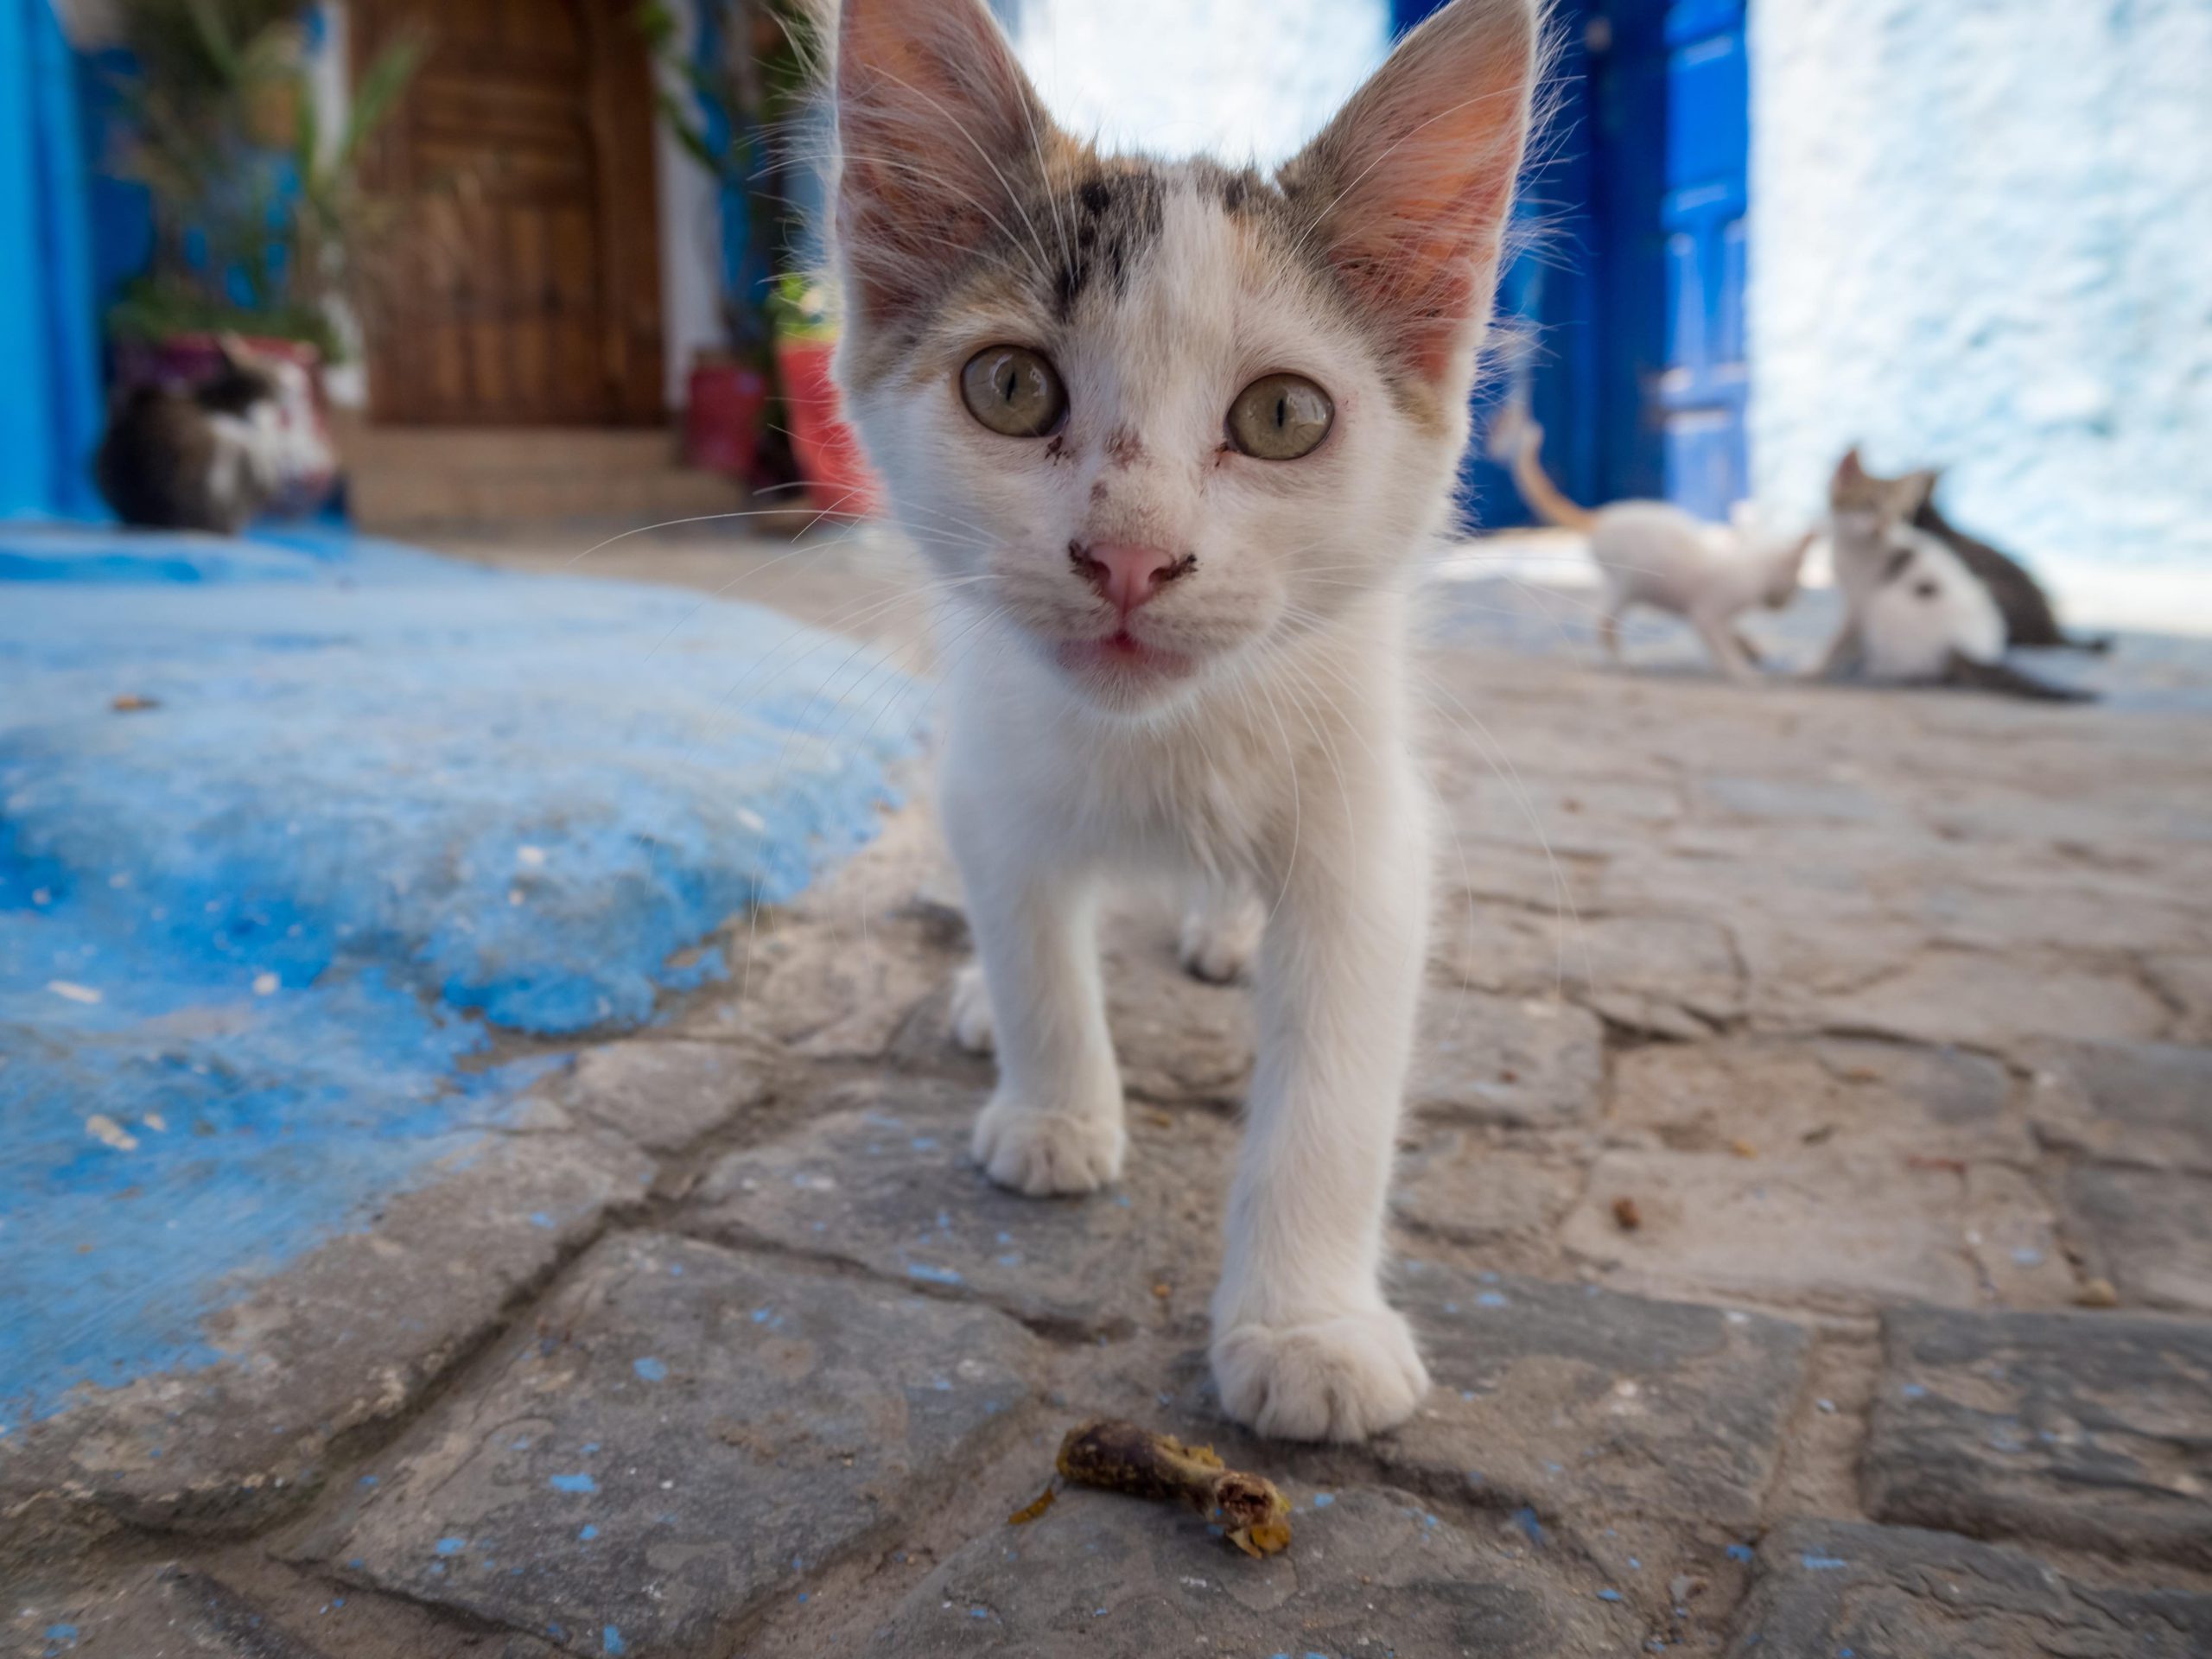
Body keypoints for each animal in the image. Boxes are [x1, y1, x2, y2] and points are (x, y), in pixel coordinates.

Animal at [827, 0, 1539, 1442]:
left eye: (1283, 416)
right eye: (1010, 389)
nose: (1129, 558)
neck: (1168, 741)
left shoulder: (1370, 835)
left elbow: (1335, 1089)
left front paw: (1307, 1329)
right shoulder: (989, 771)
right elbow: (1036, 942)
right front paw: (1052, 1106)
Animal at [1486, 407, 1814, 677]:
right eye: (1797, 581)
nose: (1790, 602)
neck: (1749, 561)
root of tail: (1603, 516)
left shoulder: (1713, 615)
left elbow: (1733, 632)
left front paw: (1750, 649)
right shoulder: (1706, 614)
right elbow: (1722, 644)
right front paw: (1742, 670)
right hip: (1626, 585)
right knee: (1603, 624)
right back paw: (1623, 662)